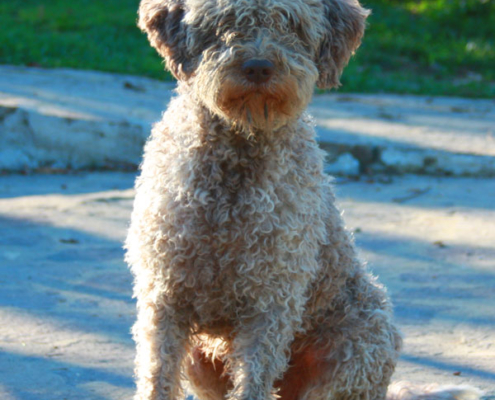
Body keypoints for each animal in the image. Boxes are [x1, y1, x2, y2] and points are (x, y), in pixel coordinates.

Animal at [125, 0, 484, 400]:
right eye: (222, 22)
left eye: (292, 24)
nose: (258, 67)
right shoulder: (165, 296)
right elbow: (157, 375)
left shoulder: (271, 301)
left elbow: (253, 379)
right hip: (202, 361)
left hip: (361, 344)